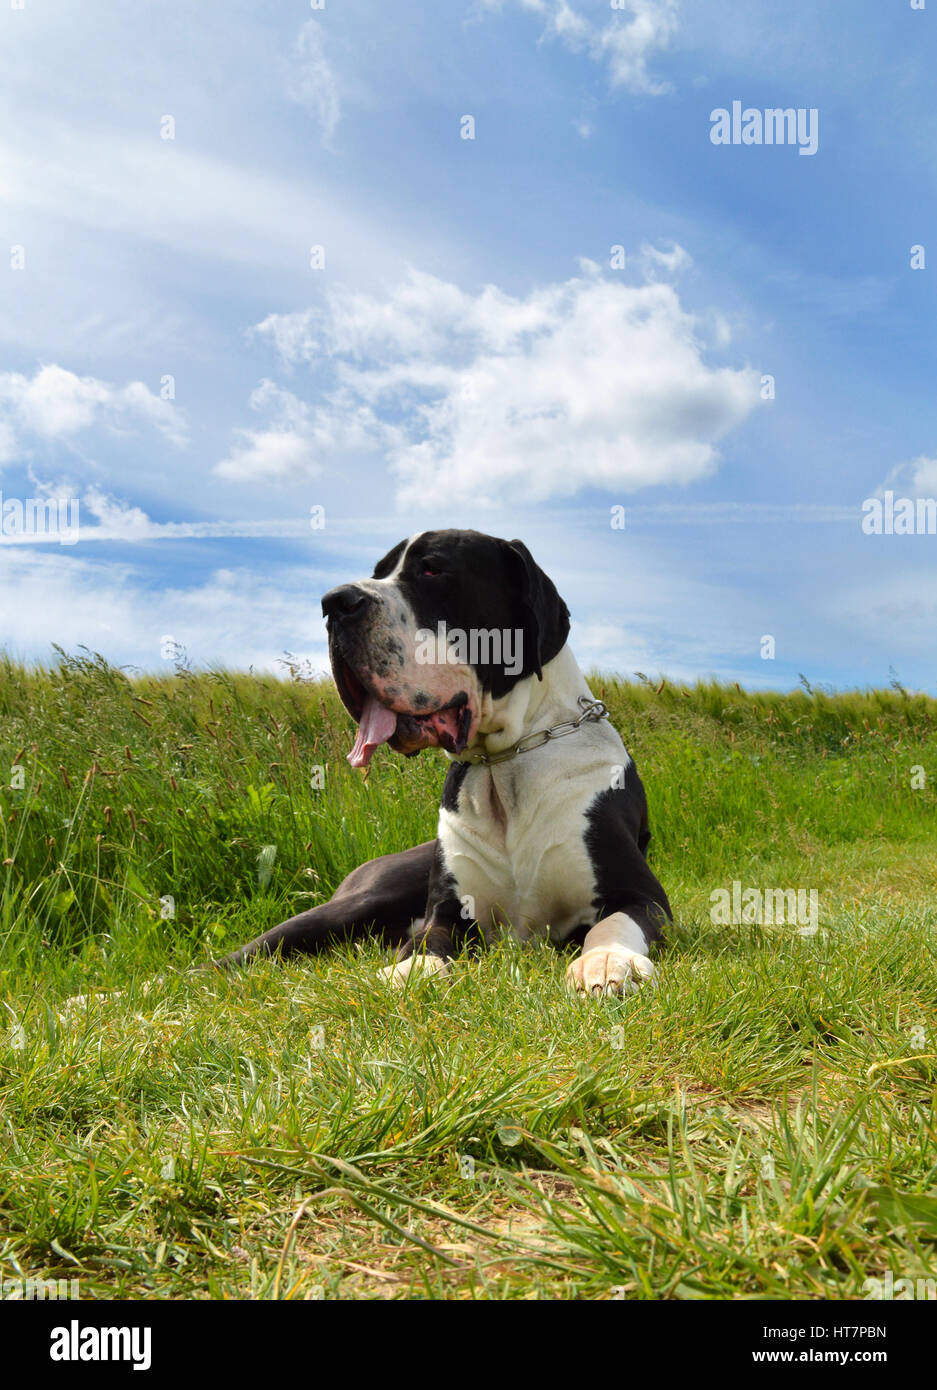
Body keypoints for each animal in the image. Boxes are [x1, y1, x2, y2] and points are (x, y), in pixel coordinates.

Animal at [219, 525, 672, 995]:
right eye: (378, 573)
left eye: (432, 569)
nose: (335, 602)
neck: (505, 762)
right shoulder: (448, 911)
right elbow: (427, 938)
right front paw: (409, 969)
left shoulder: (643, 895)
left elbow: (613, 923)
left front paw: (607, 961)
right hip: (353, 904)